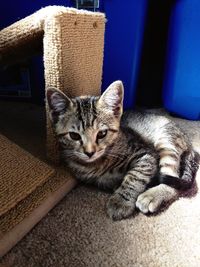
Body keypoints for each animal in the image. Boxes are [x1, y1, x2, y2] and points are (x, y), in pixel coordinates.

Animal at [46, 80, 198, 221]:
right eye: (74, 136)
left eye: (102, 133)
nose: (90, 152)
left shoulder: (146, 153)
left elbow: (135, 176)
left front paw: (121, 202)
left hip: (166, 141)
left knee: (173, 180)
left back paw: (152, 195)